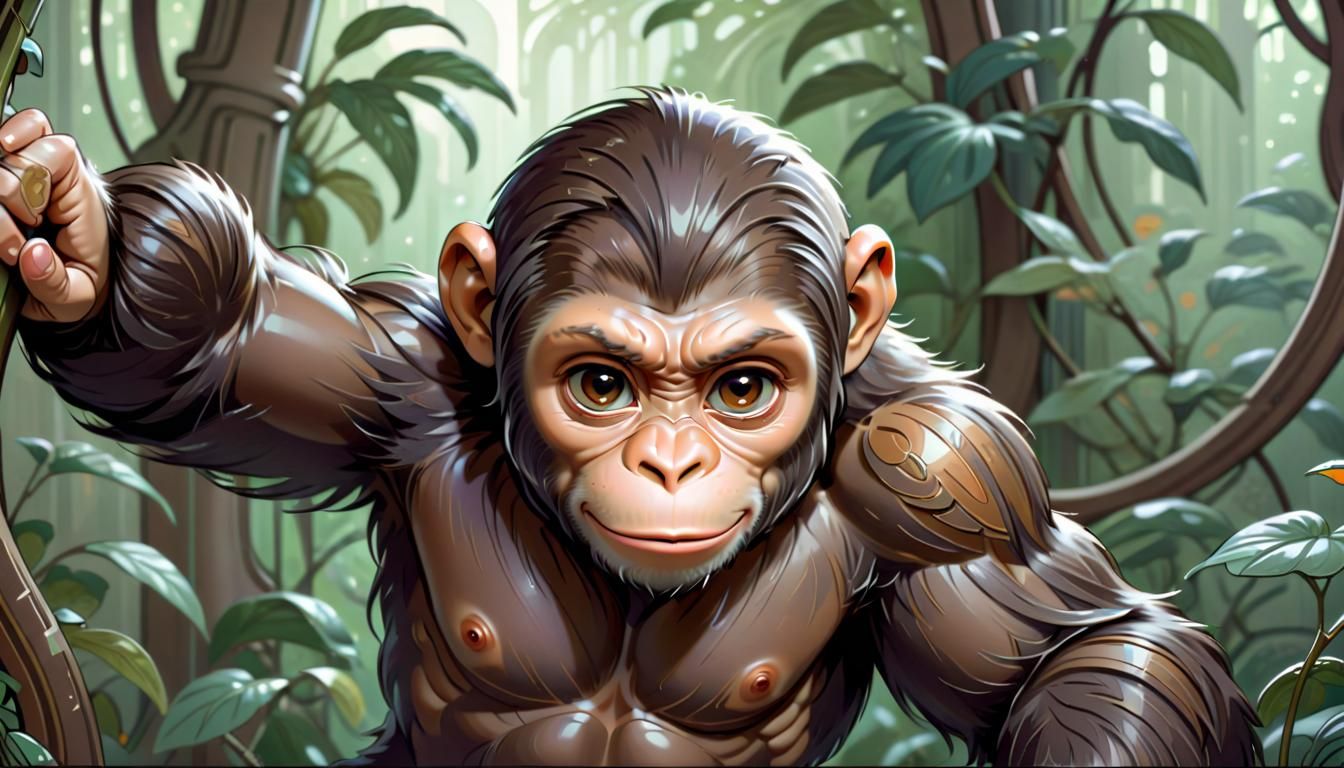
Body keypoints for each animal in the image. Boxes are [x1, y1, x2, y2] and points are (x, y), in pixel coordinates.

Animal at [0, 86, 1258, 765]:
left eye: (742, 390)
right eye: (602, 384)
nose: (669, 461)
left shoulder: (944, 472)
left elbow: (1071, 650)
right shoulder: (392, 376)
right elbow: (223, 342)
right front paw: (83, 235)